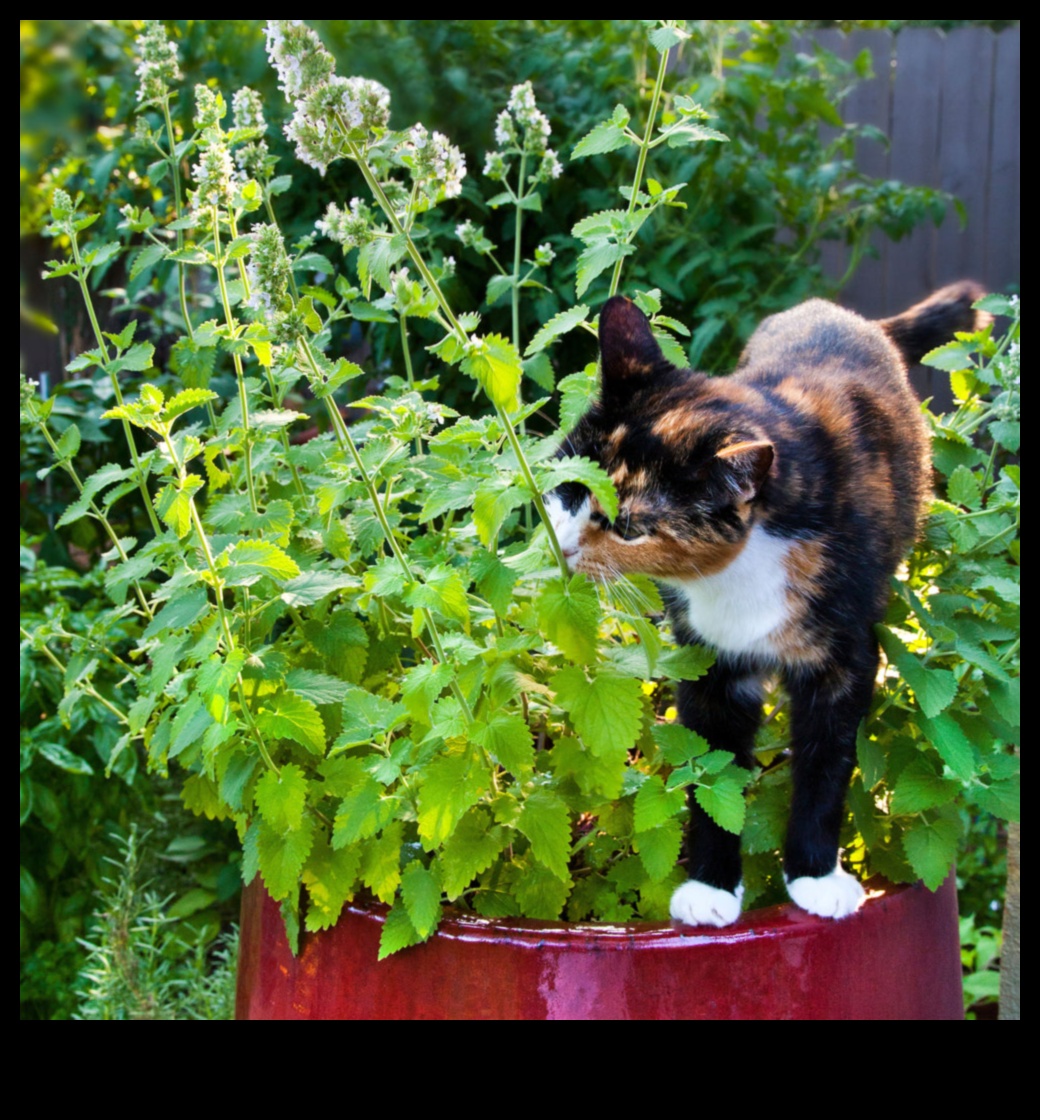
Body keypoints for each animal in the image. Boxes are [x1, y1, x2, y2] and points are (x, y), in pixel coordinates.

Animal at [548, 282, 985, 927]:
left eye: (627, 528)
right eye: (568, 485)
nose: (563, 547)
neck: (744, 568)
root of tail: (840, 312)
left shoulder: (847, 658)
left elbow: (827, 765)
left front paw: (816, 877)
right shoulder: (709, 660)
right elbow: (712, 771)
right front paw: (710, 888)